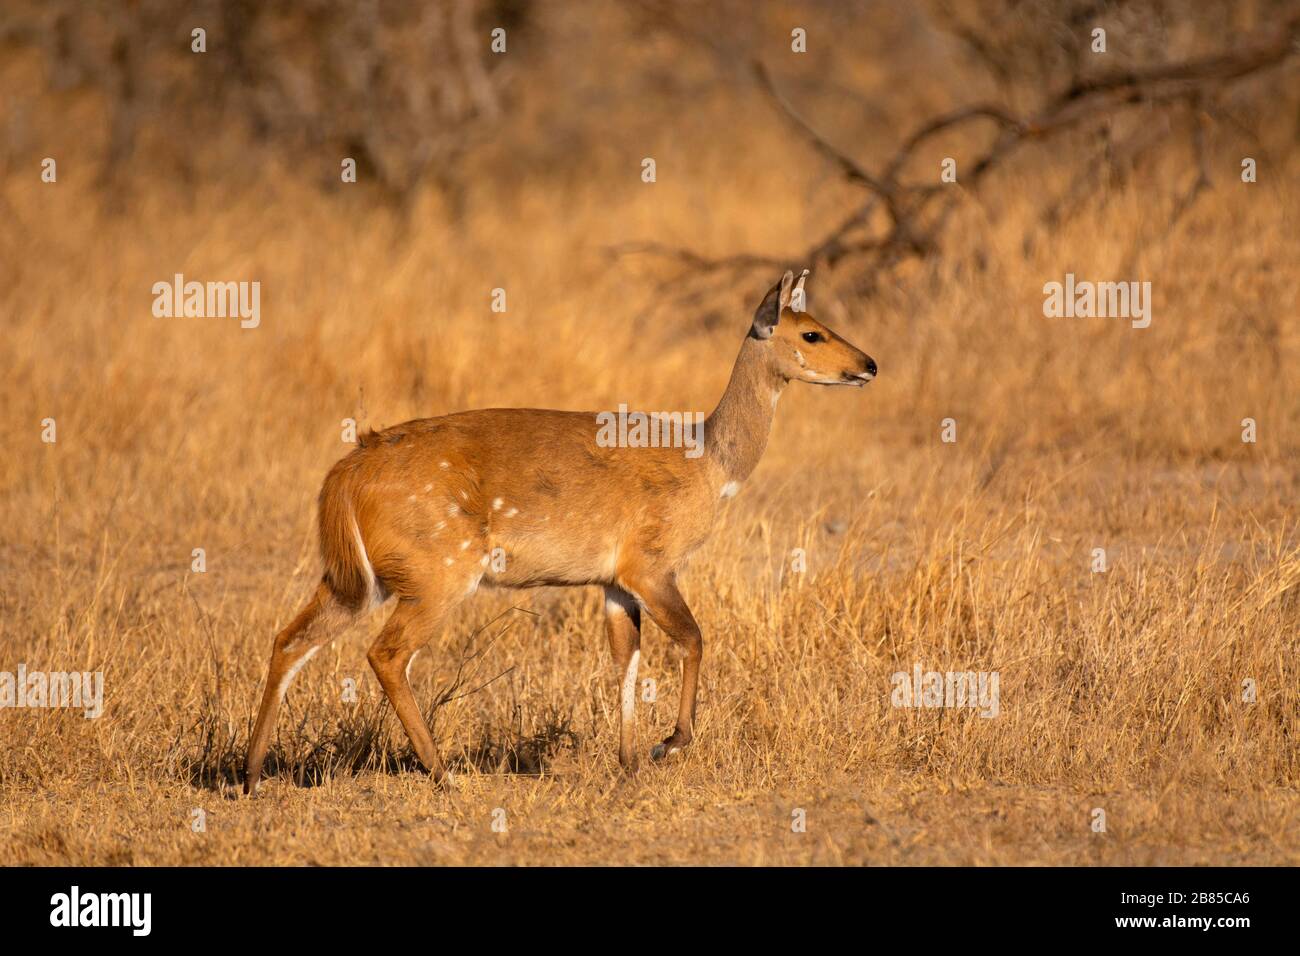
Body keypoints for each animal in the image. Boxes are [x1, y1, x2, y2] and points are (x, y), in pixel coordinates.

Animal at [244, 269, 873, 790]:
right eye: (812, 333)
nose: (869, 365)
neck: (708, 462)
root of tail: (346, 473)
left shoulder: (614, 583)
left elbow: (626, 659)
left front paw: (629, 763)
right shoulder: (649, 565)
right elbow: (693, 638)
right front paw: (668, 745)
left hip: (357, 578)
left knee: (290, 639)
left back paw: (250, 775)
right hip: (437, 574)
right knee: (386, 654)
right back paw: (443, 773)